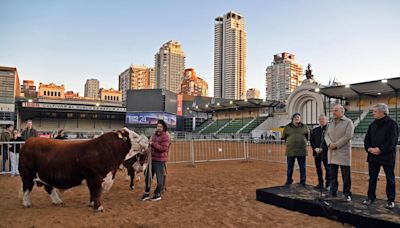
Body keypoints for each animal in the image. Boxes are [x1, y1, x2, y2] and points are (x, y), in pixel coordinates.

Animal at [18, 128, 147, 212]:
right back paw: (26, 203)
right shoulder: (95, 178)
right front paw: (98, 207)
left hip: (46, 175)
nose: (146, 140)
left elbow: (93, 193)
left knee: (48, 187)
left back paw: (57, 201)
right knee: (27, 188)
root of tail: (30, 141)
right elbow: (96, 193)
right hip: (27, 174)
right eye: (135, 136)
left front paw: (92, 204)